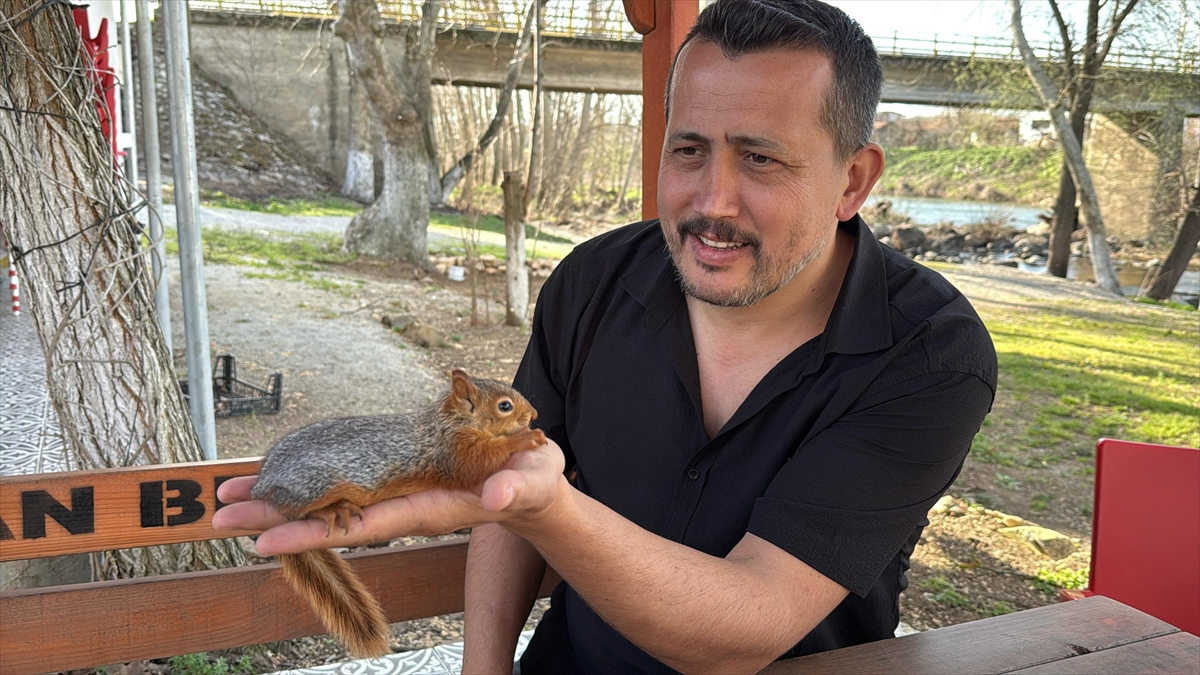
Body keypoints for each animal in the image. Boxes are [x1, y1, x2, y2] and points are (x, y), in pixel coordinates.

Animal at [254, 367, 552, 658]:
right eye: (505, 406)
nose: (534, 415)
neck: (450, 421)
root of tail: (262, 484)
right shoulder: (454, 450)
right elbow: (478, 462)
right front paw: (524, 438)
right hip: (315, 485)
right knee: (290, 509)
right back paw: (333, 511)